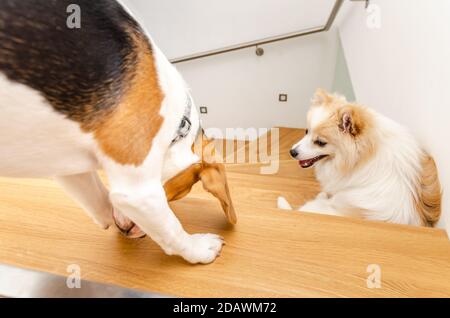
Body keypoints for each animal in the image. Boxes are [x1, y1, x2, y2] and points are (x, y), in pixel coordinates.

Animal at [0, 0, 237, 264]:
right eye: (178, 194)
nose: (125, 230)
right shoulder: (138, 192)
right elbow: (170, 228)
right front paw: (199, 248)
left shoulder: (66, 165)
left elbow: (101, 197)